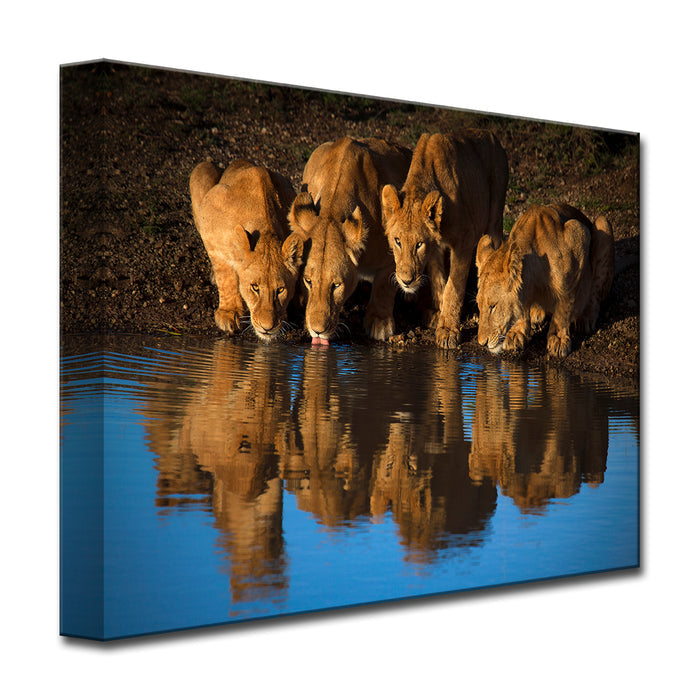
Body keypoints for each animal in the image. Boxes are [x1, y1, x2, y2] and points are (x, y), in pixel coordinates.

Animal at [189, 159, 304, 341]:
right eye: (254, 287)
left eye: (280, 290)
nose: (267, 328)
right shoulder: (210, 228)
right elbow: (226, 276)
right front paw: (229, 313)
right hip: (202, 170)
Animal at [288, 137, 411, 345]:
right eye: (308, 281)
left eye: (336, 285)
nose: (318, 331)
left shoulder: (393, 254)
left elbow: (384, 285)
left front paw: (380, 323)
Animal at [381, 131, 509, 349]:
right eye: (397, 241)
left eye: (419, 244)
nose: (406, 281)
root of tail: (492, 135)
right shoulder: (436, 248)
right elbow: (439, 281)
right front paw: (440, 316)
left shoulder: (464, 241)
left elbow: (453, 286)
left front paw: (448, 330)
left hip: (495, 216)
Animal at [475, 202, 615, 358]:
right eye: (479, 306)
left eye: (493, 306)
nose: (482, 343)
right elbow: (522, 305)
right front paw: (517, 332)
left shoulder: (578, 233)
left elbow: (564, 304)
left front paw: (558, 338)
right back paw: (537, 313)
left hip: (603, 224)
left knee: (596, 292)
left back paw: (586, 317)